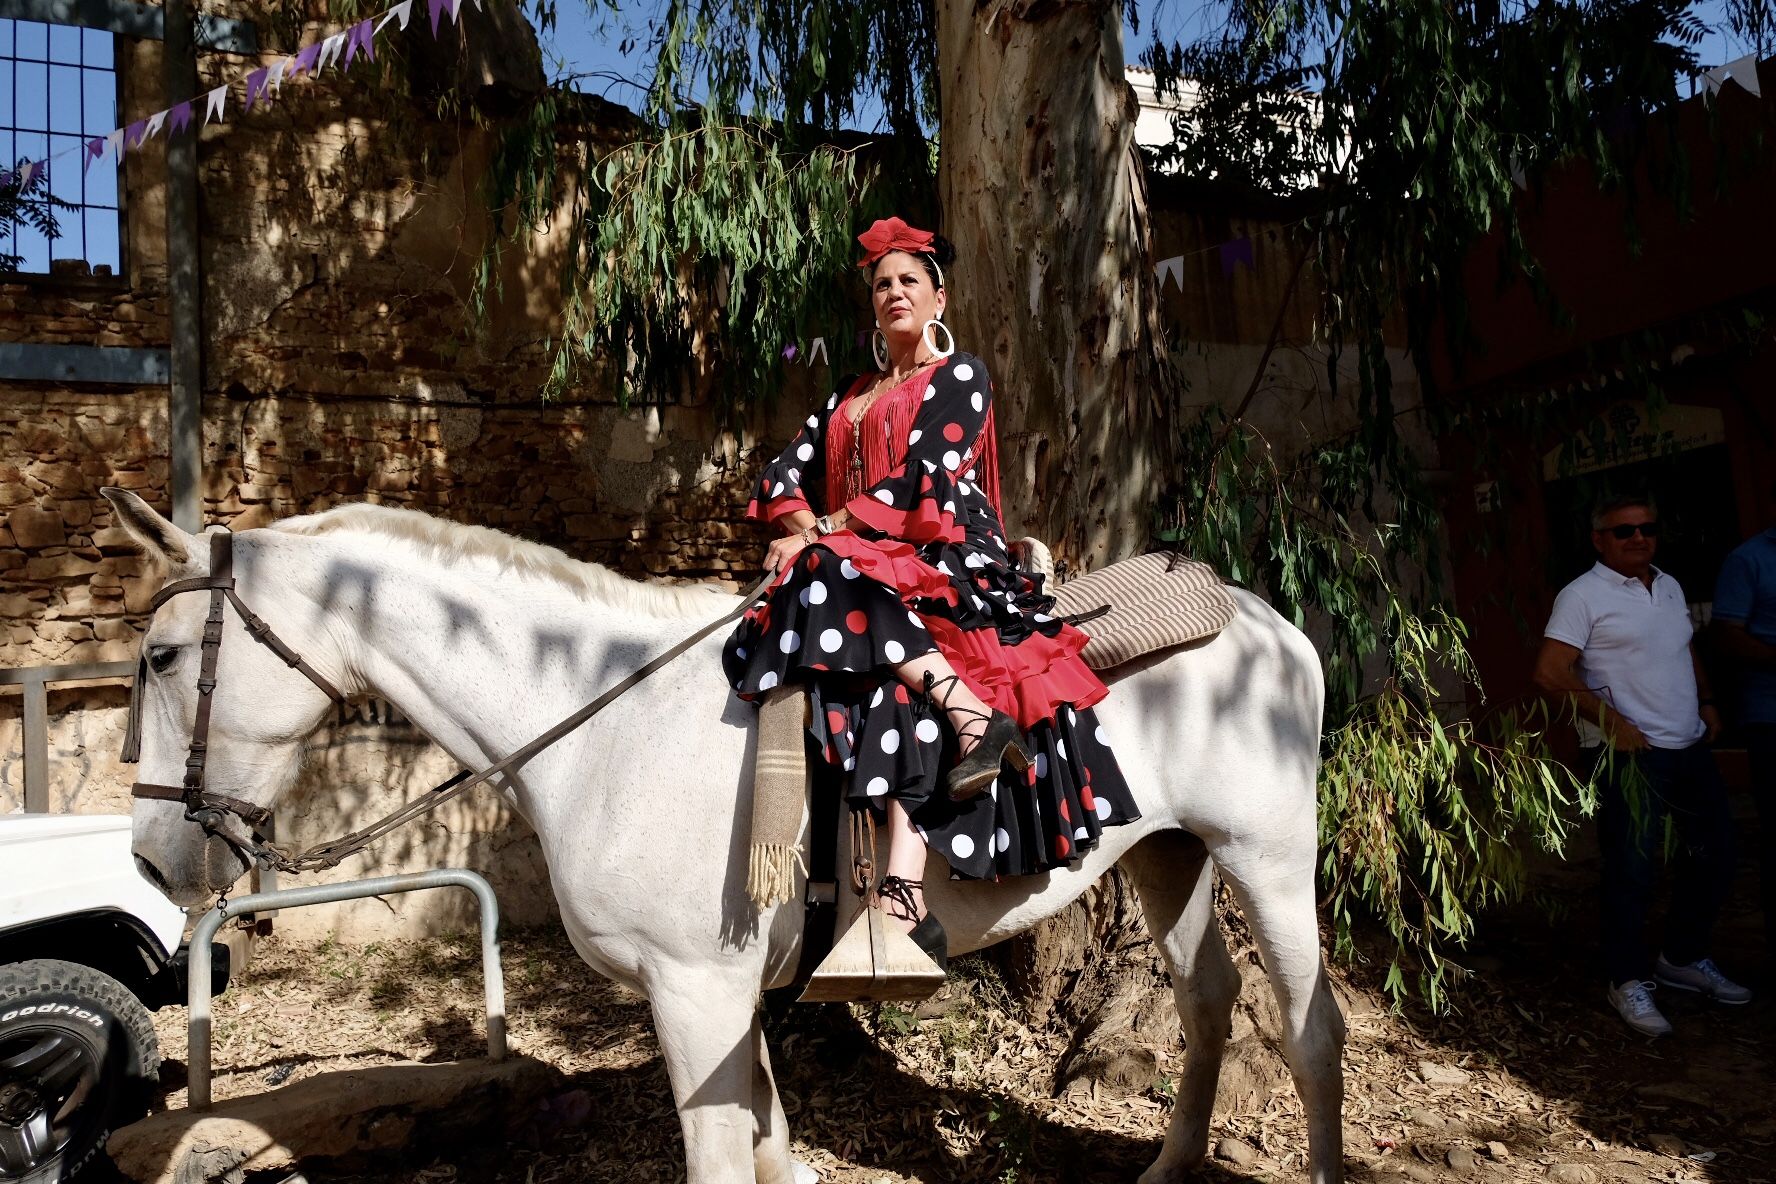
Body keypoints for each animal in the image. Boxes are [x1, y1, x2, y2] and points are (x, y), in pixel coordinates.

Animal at [103, 489, 1335, 1184]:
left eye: (158, 656)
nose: (155, 857)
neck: (605, 720)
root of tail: (1264, 619)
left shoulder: (695, 991)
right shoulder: (726, 992)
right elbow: (770, 1144)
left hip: (1268, 856)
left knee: (1310, 1030)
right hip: (1170, 853)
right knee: (1209, 1001)